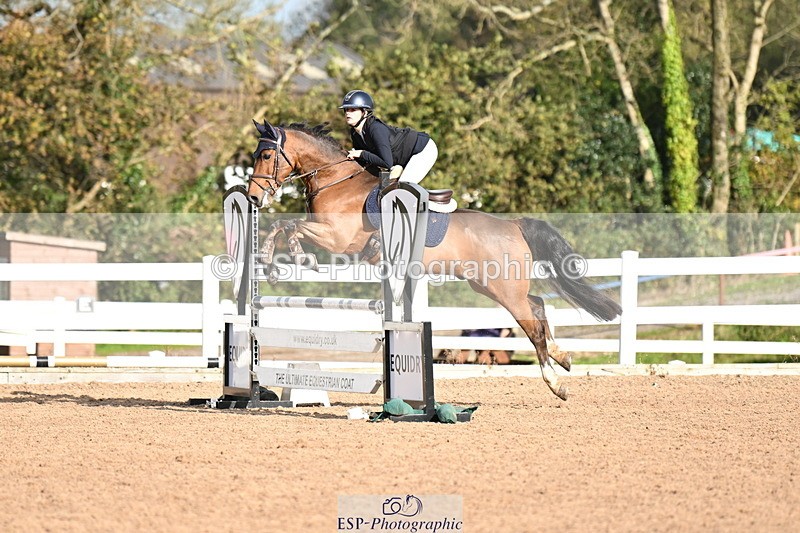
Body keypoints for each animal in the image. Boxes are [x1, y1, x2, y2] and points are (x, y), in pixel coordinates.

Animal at [246, 120, 622, 400]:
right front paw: (270, 261)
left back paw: (556, 383)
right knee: (539, 305)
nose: (252, 198)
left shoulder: (337, 238)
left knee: (532, 325)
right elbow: (282, 225)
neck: (335, 183)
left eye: (266, 154)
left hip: (503, 289)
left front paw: (295, 256)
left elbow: (291, 226)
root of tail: (513, 225)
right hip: (488, 284)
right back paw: (563, 356)